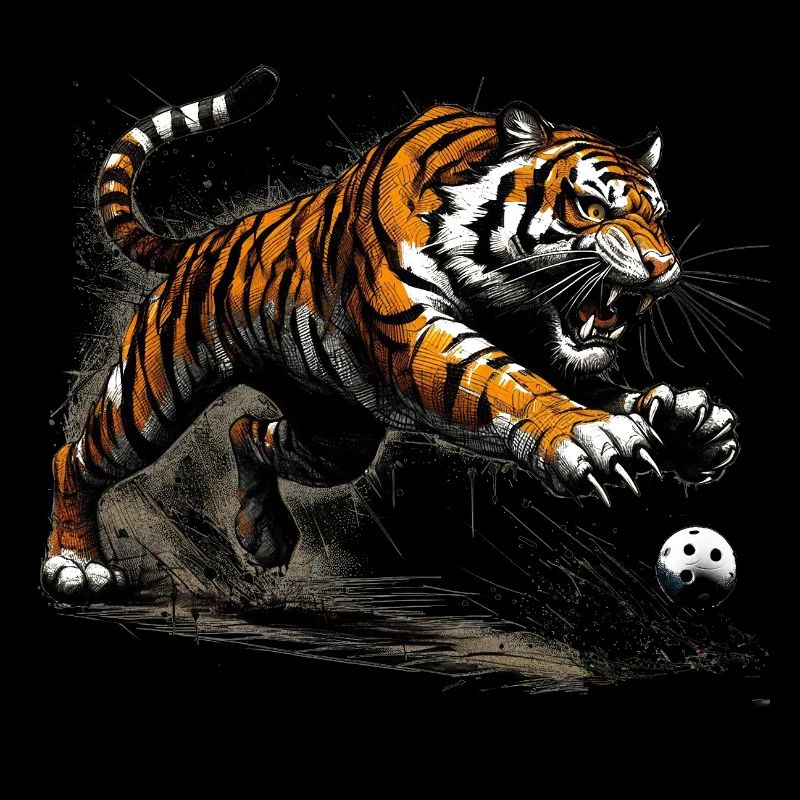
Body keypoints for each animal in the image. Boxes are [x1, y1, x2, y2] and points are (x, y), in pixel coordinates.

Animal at [45, 66, 739, 601]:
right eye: (593, 207)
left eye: (660, 218)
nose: (663, 266)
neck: (507, 297)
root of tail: (200, 242)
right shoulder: (418, 334)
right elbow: (508, 384)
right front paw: (592, 437)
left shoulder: (549, 346)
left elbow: (596, 383)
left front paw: (687, 421)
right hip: (149, 395)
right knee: (75, 457)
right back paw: (75, 566)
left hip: (333, 434)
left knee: (247, 430)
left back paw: (262, 535)